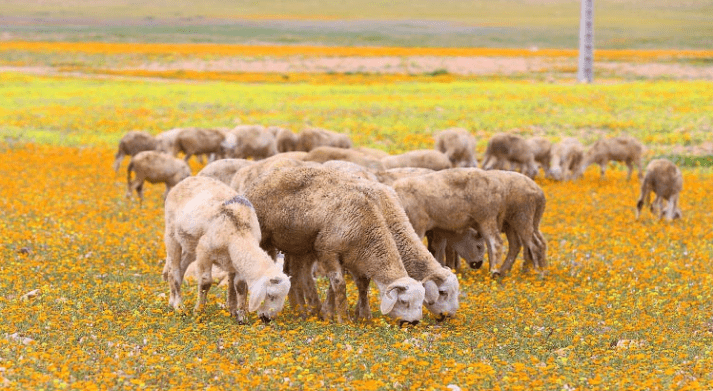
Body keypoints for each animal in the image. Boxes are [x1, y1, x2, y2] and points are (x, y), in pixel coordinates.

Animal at [163, 176, 290, 324]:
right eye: (270, 295)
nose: (268, 319)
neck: (240, 233)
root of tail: (189, 178)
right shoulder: (204, 250)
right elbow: (206, 283)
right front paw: (198, 312)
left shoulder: (237, 260)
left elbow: (240, 286)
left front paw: (242, 317)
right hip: (171, 233)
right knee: (174, 271)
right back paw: (179, 306)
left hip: (191, 244)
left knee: (181, 268)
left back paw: (172, 301)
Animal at [242, 167, 426, 326]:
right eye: (403, 301)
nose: (414, 323)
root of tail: (258, 180)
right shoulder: (327, 251)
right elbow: (339, 284)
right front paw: (343, 318)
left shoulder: (354, 257)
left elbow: (362, 285)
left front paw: (363, 317)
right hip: (264, 238)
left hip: (296, 245)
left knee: (293, 274)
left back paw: (301, 312)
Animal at [392, 170, 548, 278]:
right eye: (478, 247)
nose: (477, 264)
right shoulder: (437, 229)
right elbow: (436, 249)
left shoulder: (420, 225)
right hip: (511, 221)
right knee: (520, 244)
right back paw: (505, 270)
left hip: (511, 216)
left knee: (505, 243)